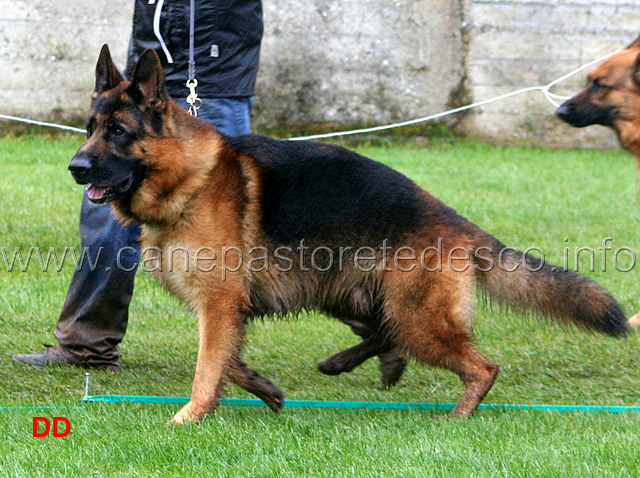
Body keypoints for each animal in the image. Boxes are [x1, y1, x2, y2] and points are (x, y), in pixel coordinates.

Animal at [67, 44, 628, 424]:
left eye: (118, 132)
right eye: (90, 128)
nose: (76, 167)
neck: (188, 177)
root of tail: (455, 222)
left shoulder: (220, 303)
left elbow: (209, 365)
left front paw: (190, 415)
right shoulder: (226, 309)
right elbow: (226, 360)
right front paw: (264, 389)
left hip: (416, 313)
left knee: (481, 366)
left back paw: (458, 415)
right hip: (350, 295)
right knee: (387, 333)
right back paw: (361, 365)